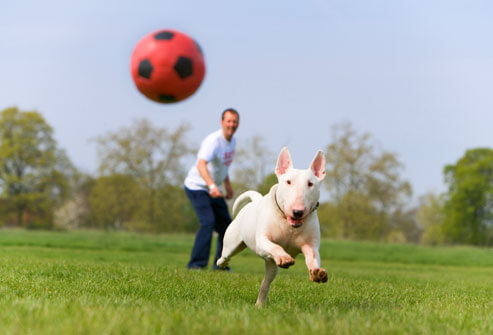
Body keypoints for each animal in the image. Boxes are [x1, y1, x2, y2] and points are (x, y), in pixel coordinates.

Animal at [216, 147, 326, 308]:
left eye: (311, 184)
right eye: (288, 182)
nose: (297, 212)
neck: (289, 226)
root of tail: (255, 200)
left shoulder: (310, 245)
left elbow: (312, 257)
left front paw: (317, 273)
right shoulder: (262, 242)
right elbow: (274, 246)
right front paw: (284, 257)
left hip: (272, 268)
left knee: (265, 284)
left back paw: (259, 304)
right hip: (232, 243)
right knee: (226, 255)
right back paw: (221, 264)